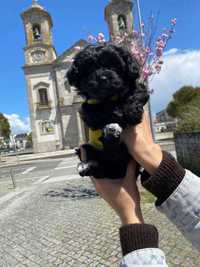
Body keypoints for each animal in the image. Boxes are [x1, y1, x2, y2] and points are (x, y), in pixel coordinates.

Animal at [67, 43, 148, 179]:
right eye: (89, 69)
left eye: (113, 66)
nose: (103, 78)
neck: (110, 97)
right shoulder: (87, 107)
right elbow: (94, 112)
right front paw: (113, 112)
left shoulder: (139, 89)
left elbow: (135, 94)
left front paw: (132, 112)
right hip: (88, 147)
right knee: (96, 161)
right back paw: (87, 164)